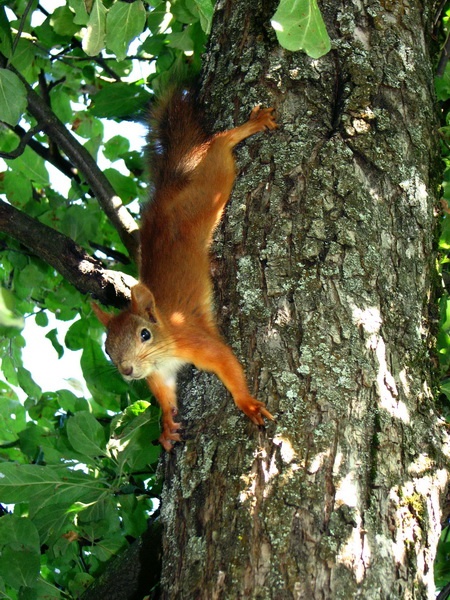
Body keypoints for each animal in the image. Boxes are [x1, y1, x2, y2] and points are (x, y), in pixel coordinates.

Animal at [93, 88, 277, 450]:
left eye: (144, 334)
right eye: (106, 347)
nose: (127, 370)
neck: (164, 343)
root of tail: (170, 187)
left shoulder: (195, 339)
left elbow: (227, 363)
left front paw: (248, 404)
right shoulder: (158, 375)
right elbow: (165, 397)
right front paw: (166, 426)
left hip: (214, 180)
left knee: (219, 145)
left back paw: (250, 125)